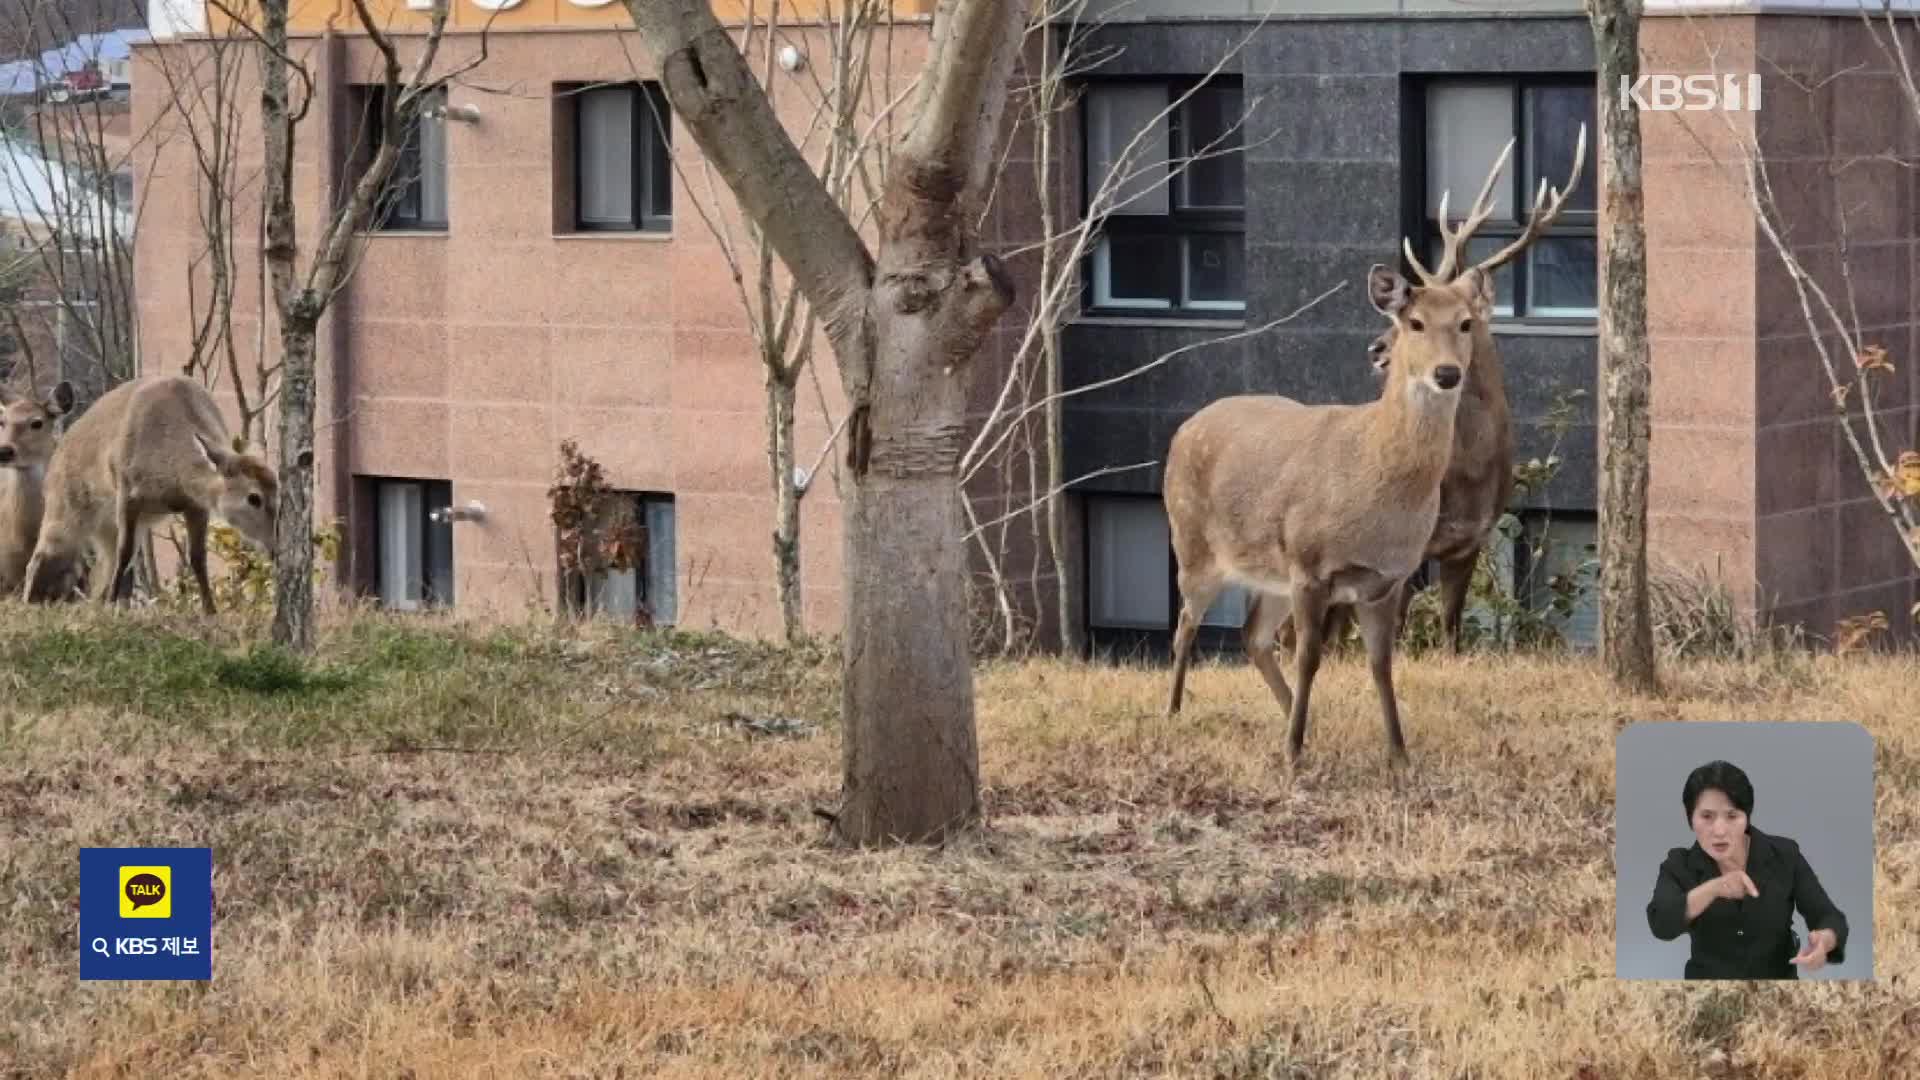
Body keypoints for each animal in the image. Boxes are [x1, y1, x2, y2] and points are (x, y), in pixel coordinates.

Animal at [18, 374, 303, 614]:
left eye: (279, 494)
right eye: (254, 498)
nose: (275, 547)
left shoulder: (196, 505)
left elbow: (197, 559)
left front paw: (210, 611)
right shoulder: (128, 492)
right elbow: (125, 553)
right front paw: (112, 605)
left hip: (106, 526)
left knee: (103, 563)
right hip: (65, 503)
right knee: (42, 554)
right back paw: (31, 601)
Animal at [1274, 123, 1589, 657]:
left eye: (1465, 321)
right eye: (1409, 317)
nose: (1376, 349)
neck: (1466, 477)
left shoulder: (1472, 540)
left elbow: (1450, 630)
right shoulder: (1404, 545)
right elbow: (1398, 629)